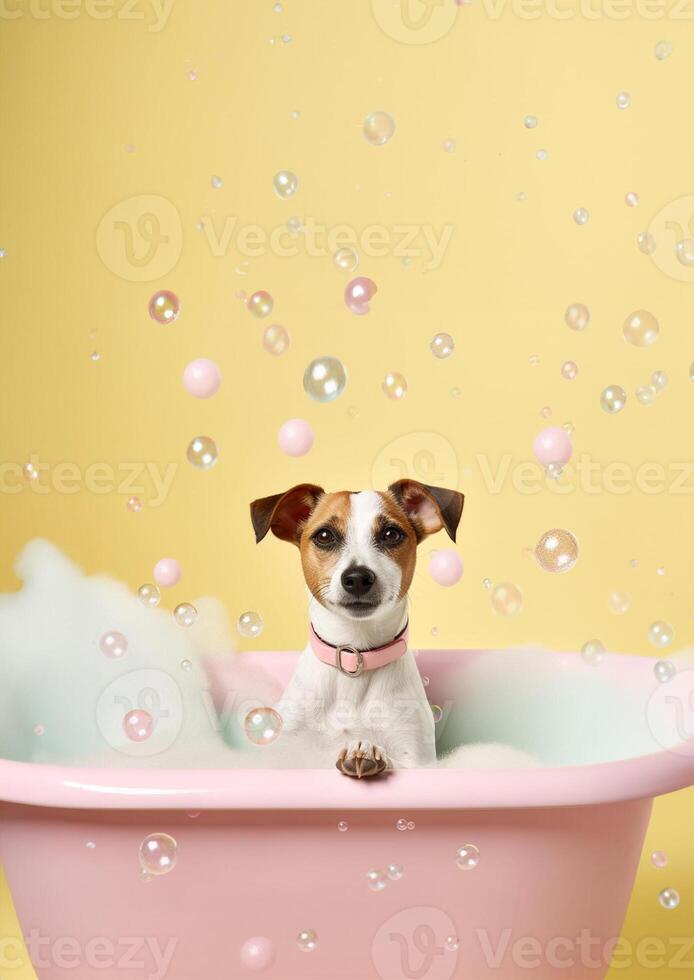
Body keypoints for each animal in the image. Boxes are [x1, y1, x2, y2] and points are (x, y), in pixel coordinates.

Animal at [251, 478, 468, 776]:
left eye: (391, 534)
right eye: (324, 536)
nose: (356, 578)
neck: (354, 656)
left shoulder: (415, 754)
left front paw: (367, 753)